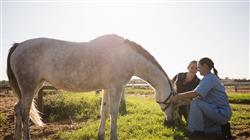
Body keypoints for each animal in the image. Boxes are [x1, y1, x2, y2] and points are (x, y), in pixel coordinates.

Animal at [8, 34, 176, 140]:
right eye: (171, 102)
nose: (171, 122)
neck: (128, 57)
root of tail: (18, 46)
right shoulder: (116, 88)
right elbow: (114, 113)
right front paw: (114, 136)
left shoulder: (107, 88)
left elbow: (104, 111)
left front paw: (100, 134)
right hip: (29, 87)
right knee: (24, 111)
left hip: (36, 86)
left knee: (17, 108)